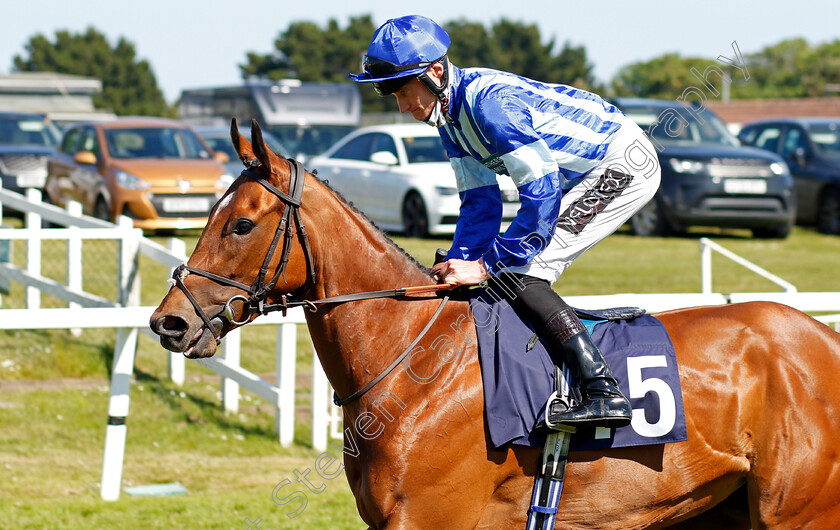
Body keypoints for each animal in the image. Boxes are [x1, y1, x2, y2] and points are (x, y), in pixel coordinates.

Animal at [149, 120, 840, 528]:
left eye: (241, 224)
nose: (169, 323)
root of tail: (824, 337)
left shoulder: (432, 520)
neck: (414, 367)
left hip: (798, 512)